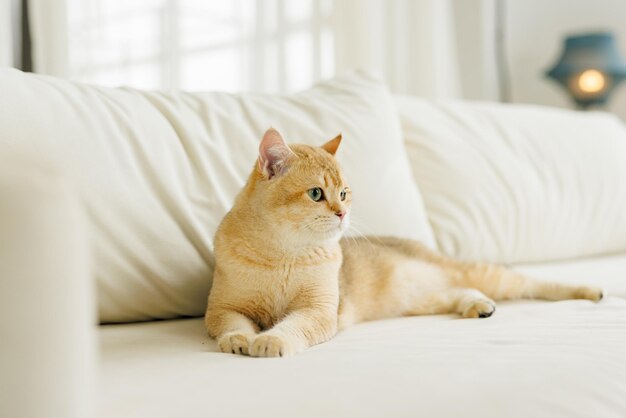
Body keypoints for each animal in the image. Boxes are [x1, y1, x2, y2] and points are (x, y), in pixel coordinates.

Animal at [204, 127, 600, 356]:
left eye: (344, 193)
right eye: (316, 194)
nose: (342, 213)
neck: (283, 255)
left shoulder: (318, 310)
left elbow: (292, 326)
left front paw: (271, 340)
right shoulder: (223, 308)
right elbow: (232, 324)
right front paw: (239, 340)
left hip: (481, 275)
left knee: (527, 281)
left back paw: (588, 290)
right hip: (417, 298)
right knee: (455, 292)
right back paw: (477, 305)